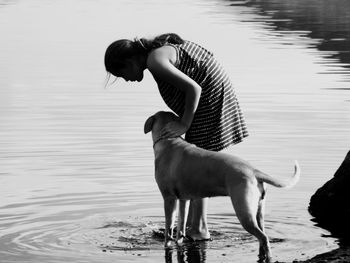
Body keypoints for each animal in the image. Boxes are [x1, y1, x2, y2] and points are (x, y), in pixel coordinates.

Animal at [144, 111, 300, 262]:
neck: (169, 141)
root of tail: (254, 171)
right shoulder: (184, 199)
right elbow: (181, 224)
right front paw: (180, 241)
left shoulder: (169, 198)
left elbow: (169, 226)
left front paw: (167, 243)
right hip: (259, 211)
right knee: (262, 235)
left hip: (244, 211)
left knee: (263, 237)